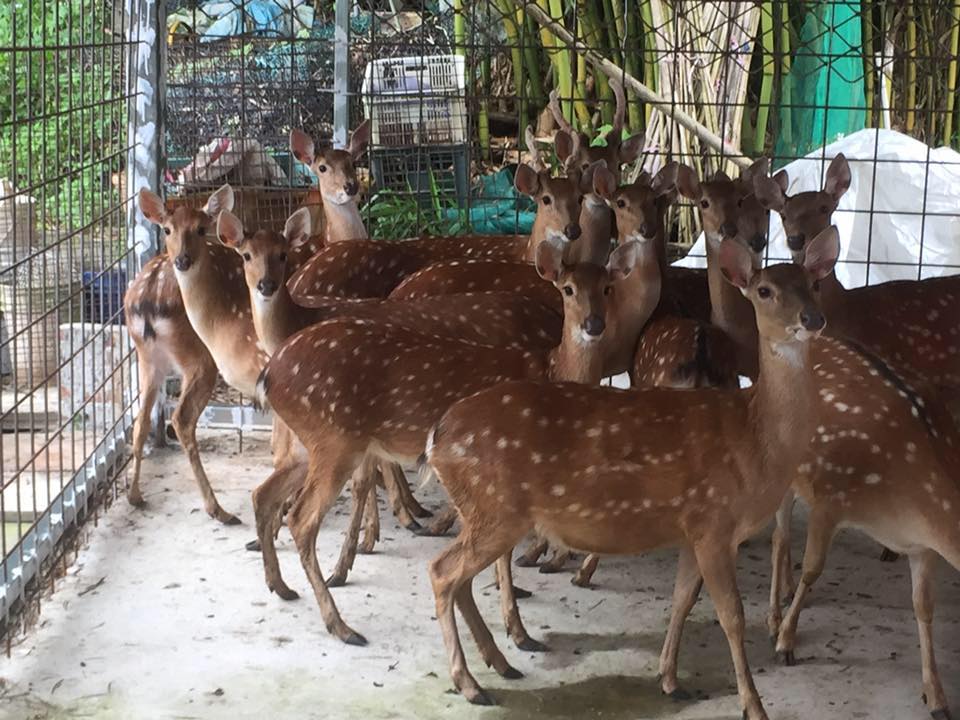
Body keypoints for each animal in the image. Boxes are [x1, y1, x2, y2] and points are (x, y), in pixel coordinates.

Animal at [254, 237, 651, 645]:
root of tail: (269, 373)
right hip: (334, 438)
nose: (594, 324)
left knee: (264, 493)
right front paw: (517, 626)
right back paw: (341, 625)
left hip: (310, 444)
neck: (551, 370)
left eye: (608, 287)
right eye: (568, 289)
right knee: (301, 519)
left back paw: (282, 587)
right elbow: (502, 552)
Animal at [423, 229, 840, 717]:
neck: (755, 441)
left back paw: (500, 664)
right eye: (765, 291)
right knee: (442, 571)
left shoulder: (692, 528)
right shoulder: (714, 522)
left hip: (485, 512)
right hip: (496, 508)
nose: (813, 318)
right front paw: (754, 705)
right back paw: (470, 682)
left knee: (460, 579)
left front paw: (670, 680)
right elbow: (731, 616)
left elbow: (682, 601)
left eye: (814, 283)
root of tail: (436, 437)